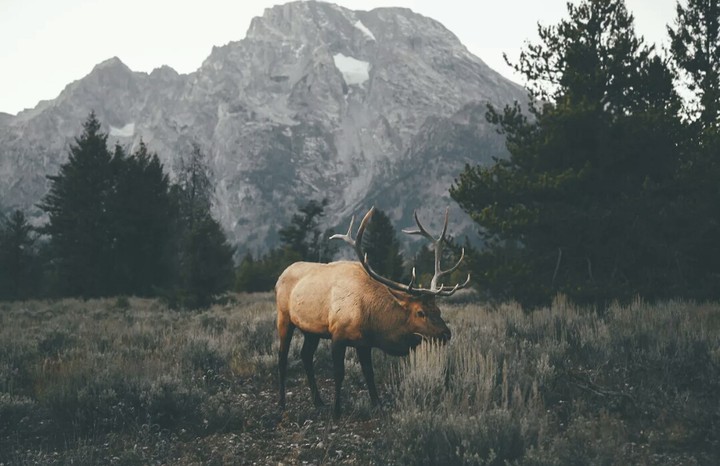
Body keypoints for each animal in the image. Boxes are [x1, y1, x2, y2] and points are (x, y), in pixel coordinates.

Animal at [275, 206, 470, 418]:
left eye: (438, 309)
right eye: (420, 312)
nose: (446, 333)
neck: (369, 315)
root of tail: (281, 275)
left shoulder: (364, 342)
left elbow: (369, 372)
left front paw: (377, 403)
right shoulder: (338, 334)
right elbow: (339, 373)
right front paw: (337, 411)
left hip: (311, 330)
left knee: (306, 356)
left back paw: (318, 401)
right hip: (284, 317)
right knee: (283, 357)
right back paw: (282, 404)